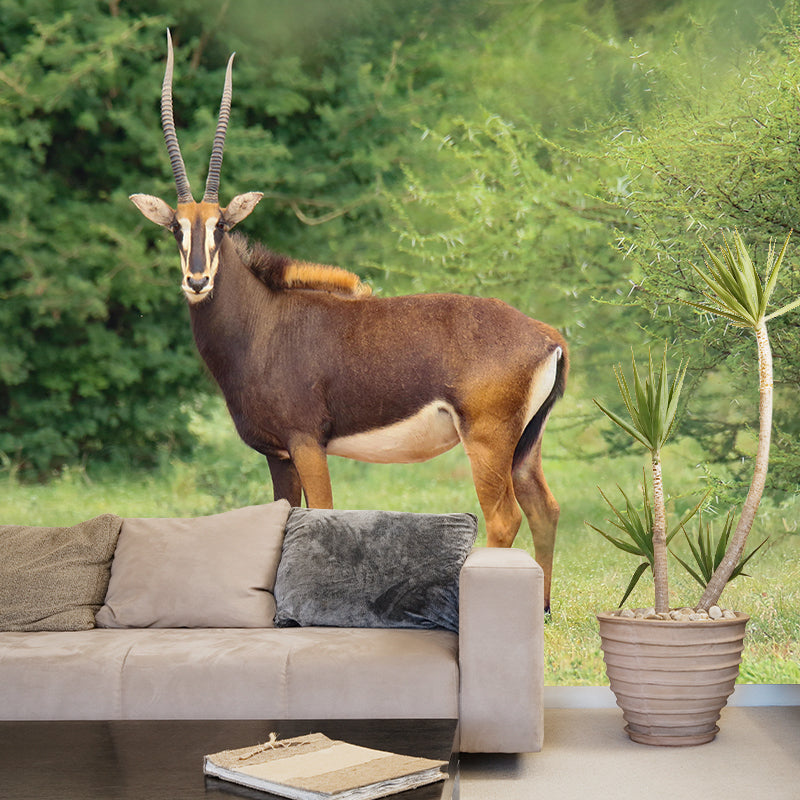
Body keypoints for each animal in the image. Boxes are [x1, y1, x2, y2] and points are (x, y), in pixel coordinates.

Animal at [131, 32, 568, 611]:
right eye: (175, 229)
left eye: (220, 225)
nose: (197, 281)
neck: (261, 324)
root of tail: (547, 336)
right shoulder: (278, 455)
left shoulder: (306, 443)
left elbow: (320, 516)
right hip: (525, 445)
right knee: (545, 509)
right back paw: (540, 609)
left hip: (489, 441)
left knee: (504, 518)